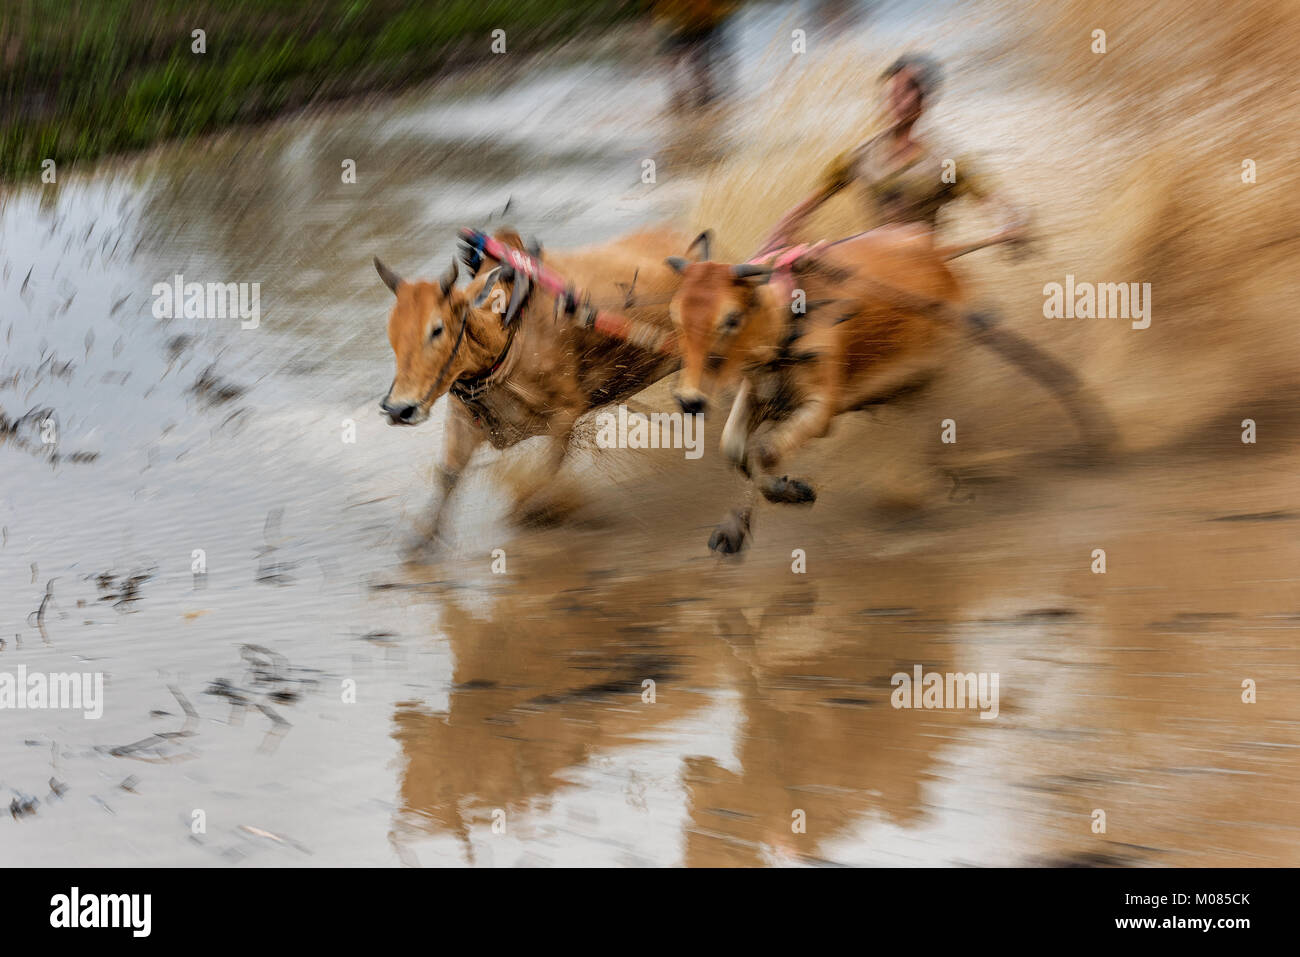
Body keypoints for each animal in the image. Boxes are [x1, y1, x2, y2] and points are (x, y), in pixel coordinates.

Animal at [377, 223, 691, 540]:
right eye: (391, 333)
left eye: (437, 329)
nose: (398, 410)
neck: (506, 334)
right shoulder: (462, 418)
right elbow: (446, 474)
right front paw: (422, 540)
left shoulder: (565, 413)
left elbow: (545, 473)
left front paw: (531, 512)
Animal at [670, 226, 1118, 553]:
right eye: (675, 317)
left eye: (730, 319)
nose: (689, 400)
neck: (786, 317)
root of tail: (936, 251)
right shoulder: (758, 392)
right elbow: (735, 449)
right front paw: (734, 529)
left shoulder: (821, 407)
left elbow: (763, 451)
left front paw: (791, 491)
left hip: (942, 364)